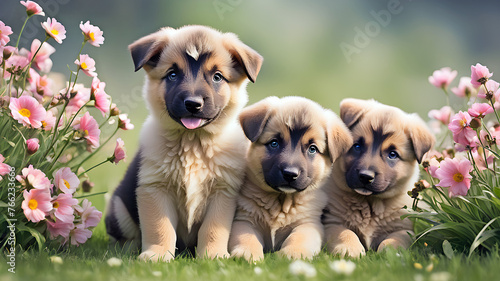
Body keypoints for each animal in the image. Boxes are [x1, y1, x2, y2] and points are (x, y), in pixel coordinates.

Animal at [104, 25, 264, 262]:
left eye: (217, 77)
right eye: (172, 74)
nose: (193, 104)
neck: (193, 143)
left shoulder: (223, 192)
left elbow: (213, 229)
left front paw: (213, 255)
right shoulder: (155, 188)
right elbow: (160, 227)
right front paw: (158, 254)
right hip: (119, 208)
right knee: (125, 237)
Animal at [228, 96, 352, 260]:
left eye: (312, 149)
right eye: (274, 143)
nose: (290, 173)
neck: (281, 202)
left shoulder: (308, 224)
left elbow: (299, 237)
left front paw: (293, 253)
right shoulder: (244, 220)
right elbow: (246, 236)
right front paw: (247, 253)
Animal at [322, 98, 436, 256]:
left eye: (392, 154)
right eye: (357, 146)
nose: (365, 176)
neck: (370, 204)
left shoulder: (403, 229)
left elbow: (395, 239)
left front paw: (391, 252)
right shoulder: (332, 222)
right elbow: (345, 233)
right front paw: (349, 248)